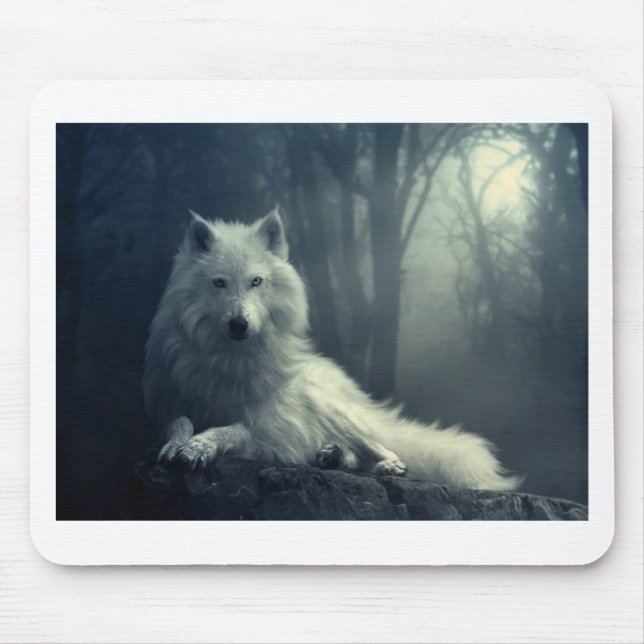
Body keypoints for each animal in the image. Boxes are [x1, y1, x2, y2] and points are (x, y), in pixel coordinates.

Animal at [143, 207, 521, 491]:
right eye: (219, 283)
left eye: (256, 282)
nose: (239, 324)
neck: (229, 360)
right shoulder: (172, 403)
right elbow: (178, 422)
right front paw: (177, 445)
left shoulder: (264, 427)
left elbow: (229, 430)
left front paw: (198, 447)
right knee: (348, 453)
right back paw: (331, 456)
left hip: (335, 412)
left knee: (384, 448)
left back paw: (385, 466)